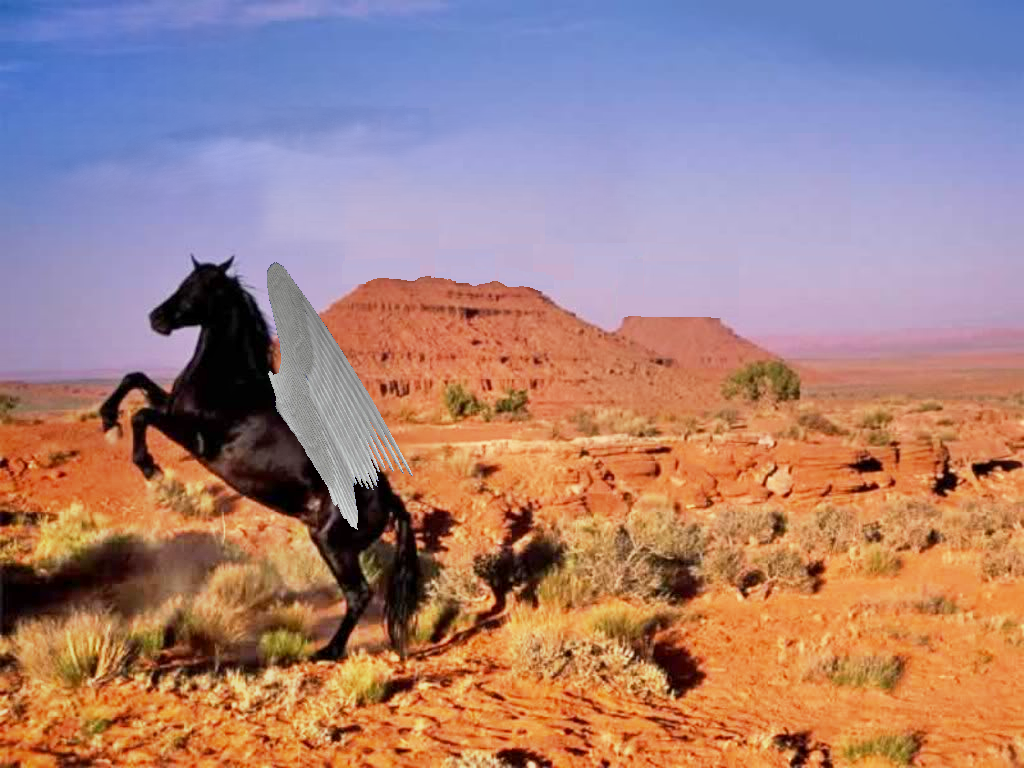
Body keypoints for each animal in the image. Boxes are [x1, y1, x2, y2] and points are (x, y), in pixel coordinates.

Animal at [98, 255, 420, 661]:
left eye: (200, 287)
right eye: (185, 280)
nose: (156, 318)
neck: (230, 385)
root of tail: (388, 498)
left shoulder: (196, 438)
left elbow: (142, 415)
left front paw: (148, 466)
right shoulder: (173, 408)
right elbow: (135, 379)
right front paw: (107, 418)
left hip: (333, 543)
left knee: (358, 594)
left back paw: (326, 651)